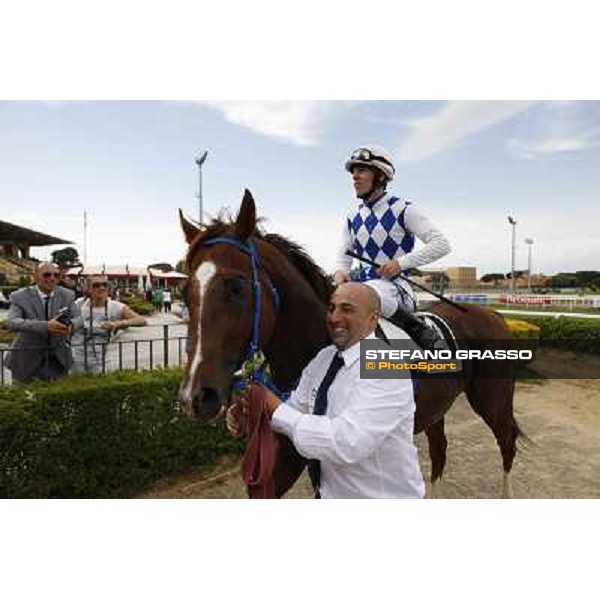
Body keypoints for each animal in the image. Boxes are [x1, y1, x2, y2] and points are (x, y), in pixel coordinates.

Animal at [178, 191, 520, 496]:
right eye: (185, 293)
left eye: (236, 287)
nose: (196, 397)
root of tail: (493, 313)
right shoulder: (285, 450)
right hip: (439, 406)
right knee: (440, 451)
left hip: (493, 399)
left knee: (507, 443)